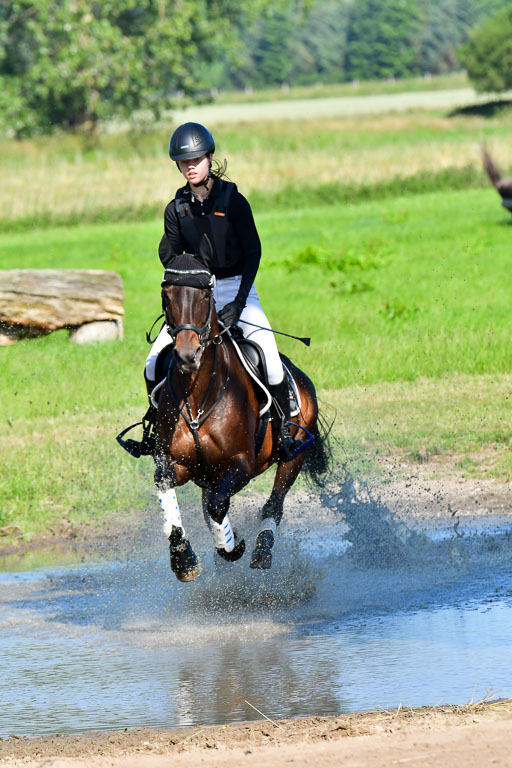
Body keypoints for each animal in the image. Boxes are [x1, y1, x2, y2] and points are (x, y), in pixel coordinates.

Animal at [149, 244, 330, 582]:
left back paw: (261, 551)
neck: (197, 398)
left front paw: (232, 548)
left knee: (273, 505)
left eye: (206, 295)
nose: (187, 355)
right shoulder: (178, 463)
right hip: (208, 474)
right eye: (167, 294)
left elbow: (219, 506)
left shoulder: (242, 465)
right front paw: (185, 560)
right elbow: (169, 489)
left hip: (294, 457)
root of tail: (302, 378)